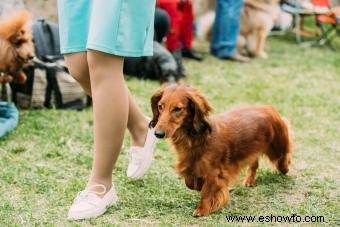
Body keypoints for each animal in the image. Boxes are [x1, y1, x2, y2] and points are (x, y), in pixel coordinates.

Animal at [150, 85, 294, 216]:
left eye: (177, 109)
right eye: (160, 106)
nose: (158, 133)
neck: (197, 139)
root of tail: (267, 108)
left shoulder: (214, 173)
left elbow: (207, 191)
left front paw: (203, 209)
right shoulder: (190, 165)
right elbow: (190, 182)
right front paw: (198, 186)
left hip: (277, 148)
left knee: (284, 157)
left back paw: (285, 167)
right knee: (254, 163)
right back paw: (249, 180)